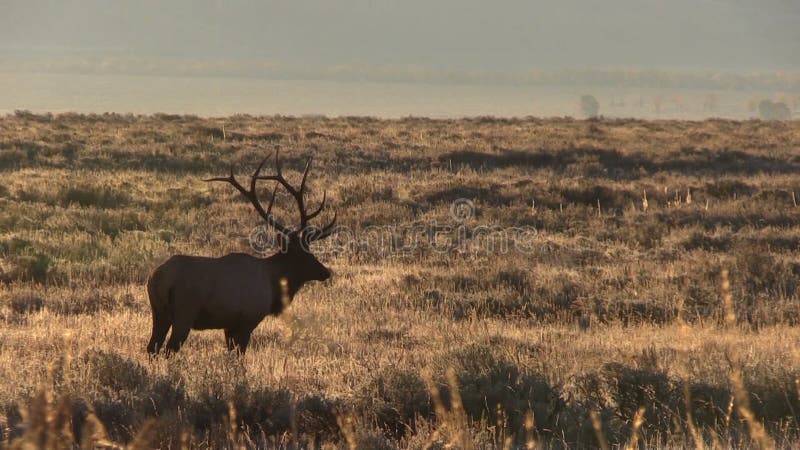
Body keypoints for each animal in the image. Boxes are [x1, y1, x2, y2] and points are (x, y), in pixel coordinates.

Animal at [146, 152, 334, 356]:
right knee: (170, 348)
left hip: (159, 312)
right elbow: (240, 354)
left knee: (152, 347)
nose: (326, 272)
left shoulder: (229, 326)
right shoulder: (248, 319)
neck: (273, 283)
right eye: (303, 253)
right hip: (185, 312)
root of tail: (158, 278)